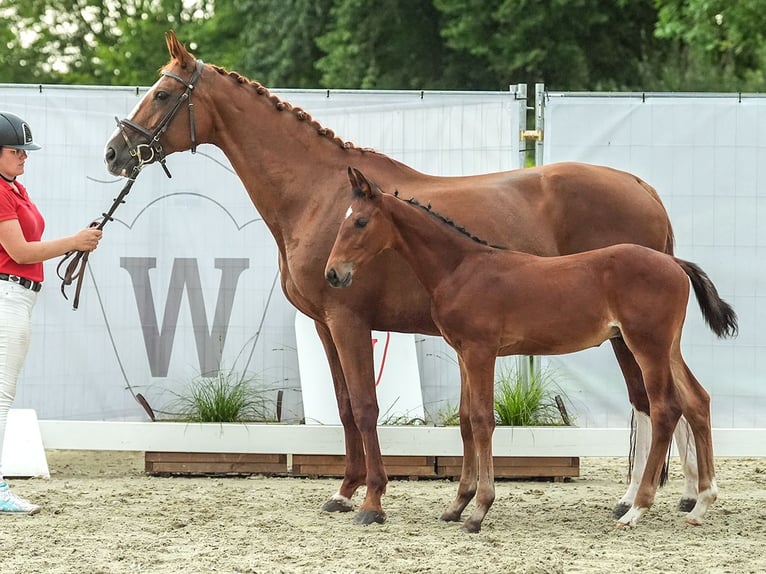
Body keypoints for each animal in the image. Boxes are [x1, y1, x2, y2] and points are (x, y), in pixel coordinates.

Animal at [105, 30, 700, 528]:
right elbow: (345, 407)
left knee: (654, 403)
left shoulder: (349, 319)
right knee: (672, 401)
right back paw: (675, 497)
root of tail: (642, 188)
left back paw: (643, 501)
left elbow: (367, 407)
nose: (115, 153)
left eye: (163, 93)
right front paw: (344, 491)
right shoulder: (325, 324)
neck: (320, 195)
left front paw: (373, 499)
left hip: (631, 336)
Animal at [328, 169, 740, 532]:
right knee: (697, 400)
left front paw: (479, 510)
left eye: (360, 222)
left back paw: (636, 509)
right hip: (667, 348)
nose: (333, 274)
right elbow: (465, 420)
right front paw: (457, 505)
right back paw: (701, 504)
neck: (461, 268)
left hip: (646, 345)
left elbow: (482, 421)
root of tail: (674, 262)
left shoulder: (481, 351)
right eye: (343, 220)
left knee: (665, 409)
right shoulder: (463, 353)